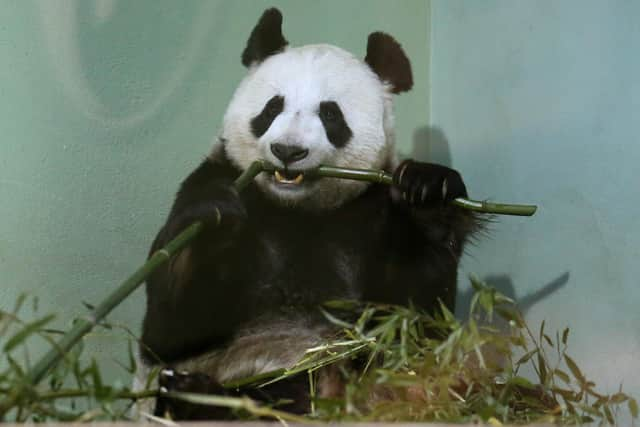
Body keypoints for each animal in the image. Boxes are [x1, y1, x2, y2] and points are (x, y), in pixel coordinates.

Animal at [141, 6, 480, 422]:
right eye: (272, 107)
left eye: (331, 114)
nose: (288, 150)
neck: (299, 210)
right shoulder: (215, 178)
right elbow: (169, 330)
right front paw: (215, 219)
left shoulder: (371, 212)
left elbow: (417, 320)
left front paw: (428, 191)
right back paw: (197, 398)